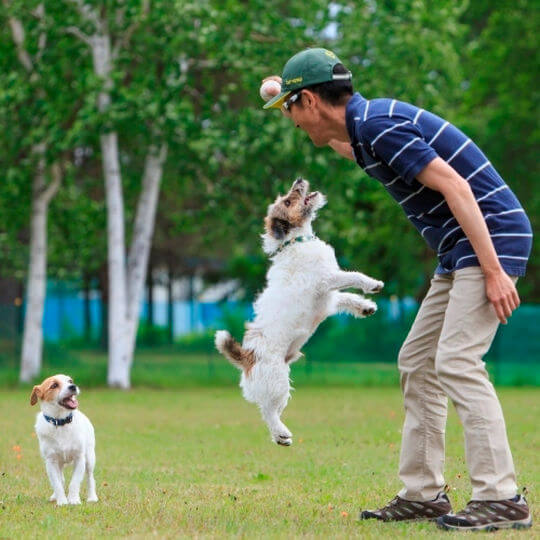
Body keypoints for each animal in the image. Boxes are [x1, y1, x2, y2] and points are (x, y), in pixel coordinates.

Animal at [30, 374, 98, 504]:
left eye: (70, 381)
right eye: (54, 385)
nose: (73, 386)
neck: (61, 422)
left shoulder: (79, 458)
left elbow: (75, 482)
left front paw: (74, 500)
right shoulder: (51, 462)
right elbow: (57, 484)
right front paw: (62, 501)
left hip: (89, 458)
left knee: (90, 478)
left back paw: (92, 497)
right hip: (59, 463)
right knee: (61, 479)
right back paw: (55, 496)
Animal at [213, 179, 382, 446]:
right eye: (288, 201)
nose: (299, 181)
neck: (297, 241)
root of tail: (246, 356)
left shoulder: (329, 298)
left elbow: (346, 298)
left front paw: (365, 307)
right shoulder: (327, 280)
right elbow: (353, 276)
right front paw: (372, 284)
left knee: (269, 410)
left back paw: (279, 436)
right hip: (277, 382)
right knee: (268, 411)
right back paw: (282, 432)